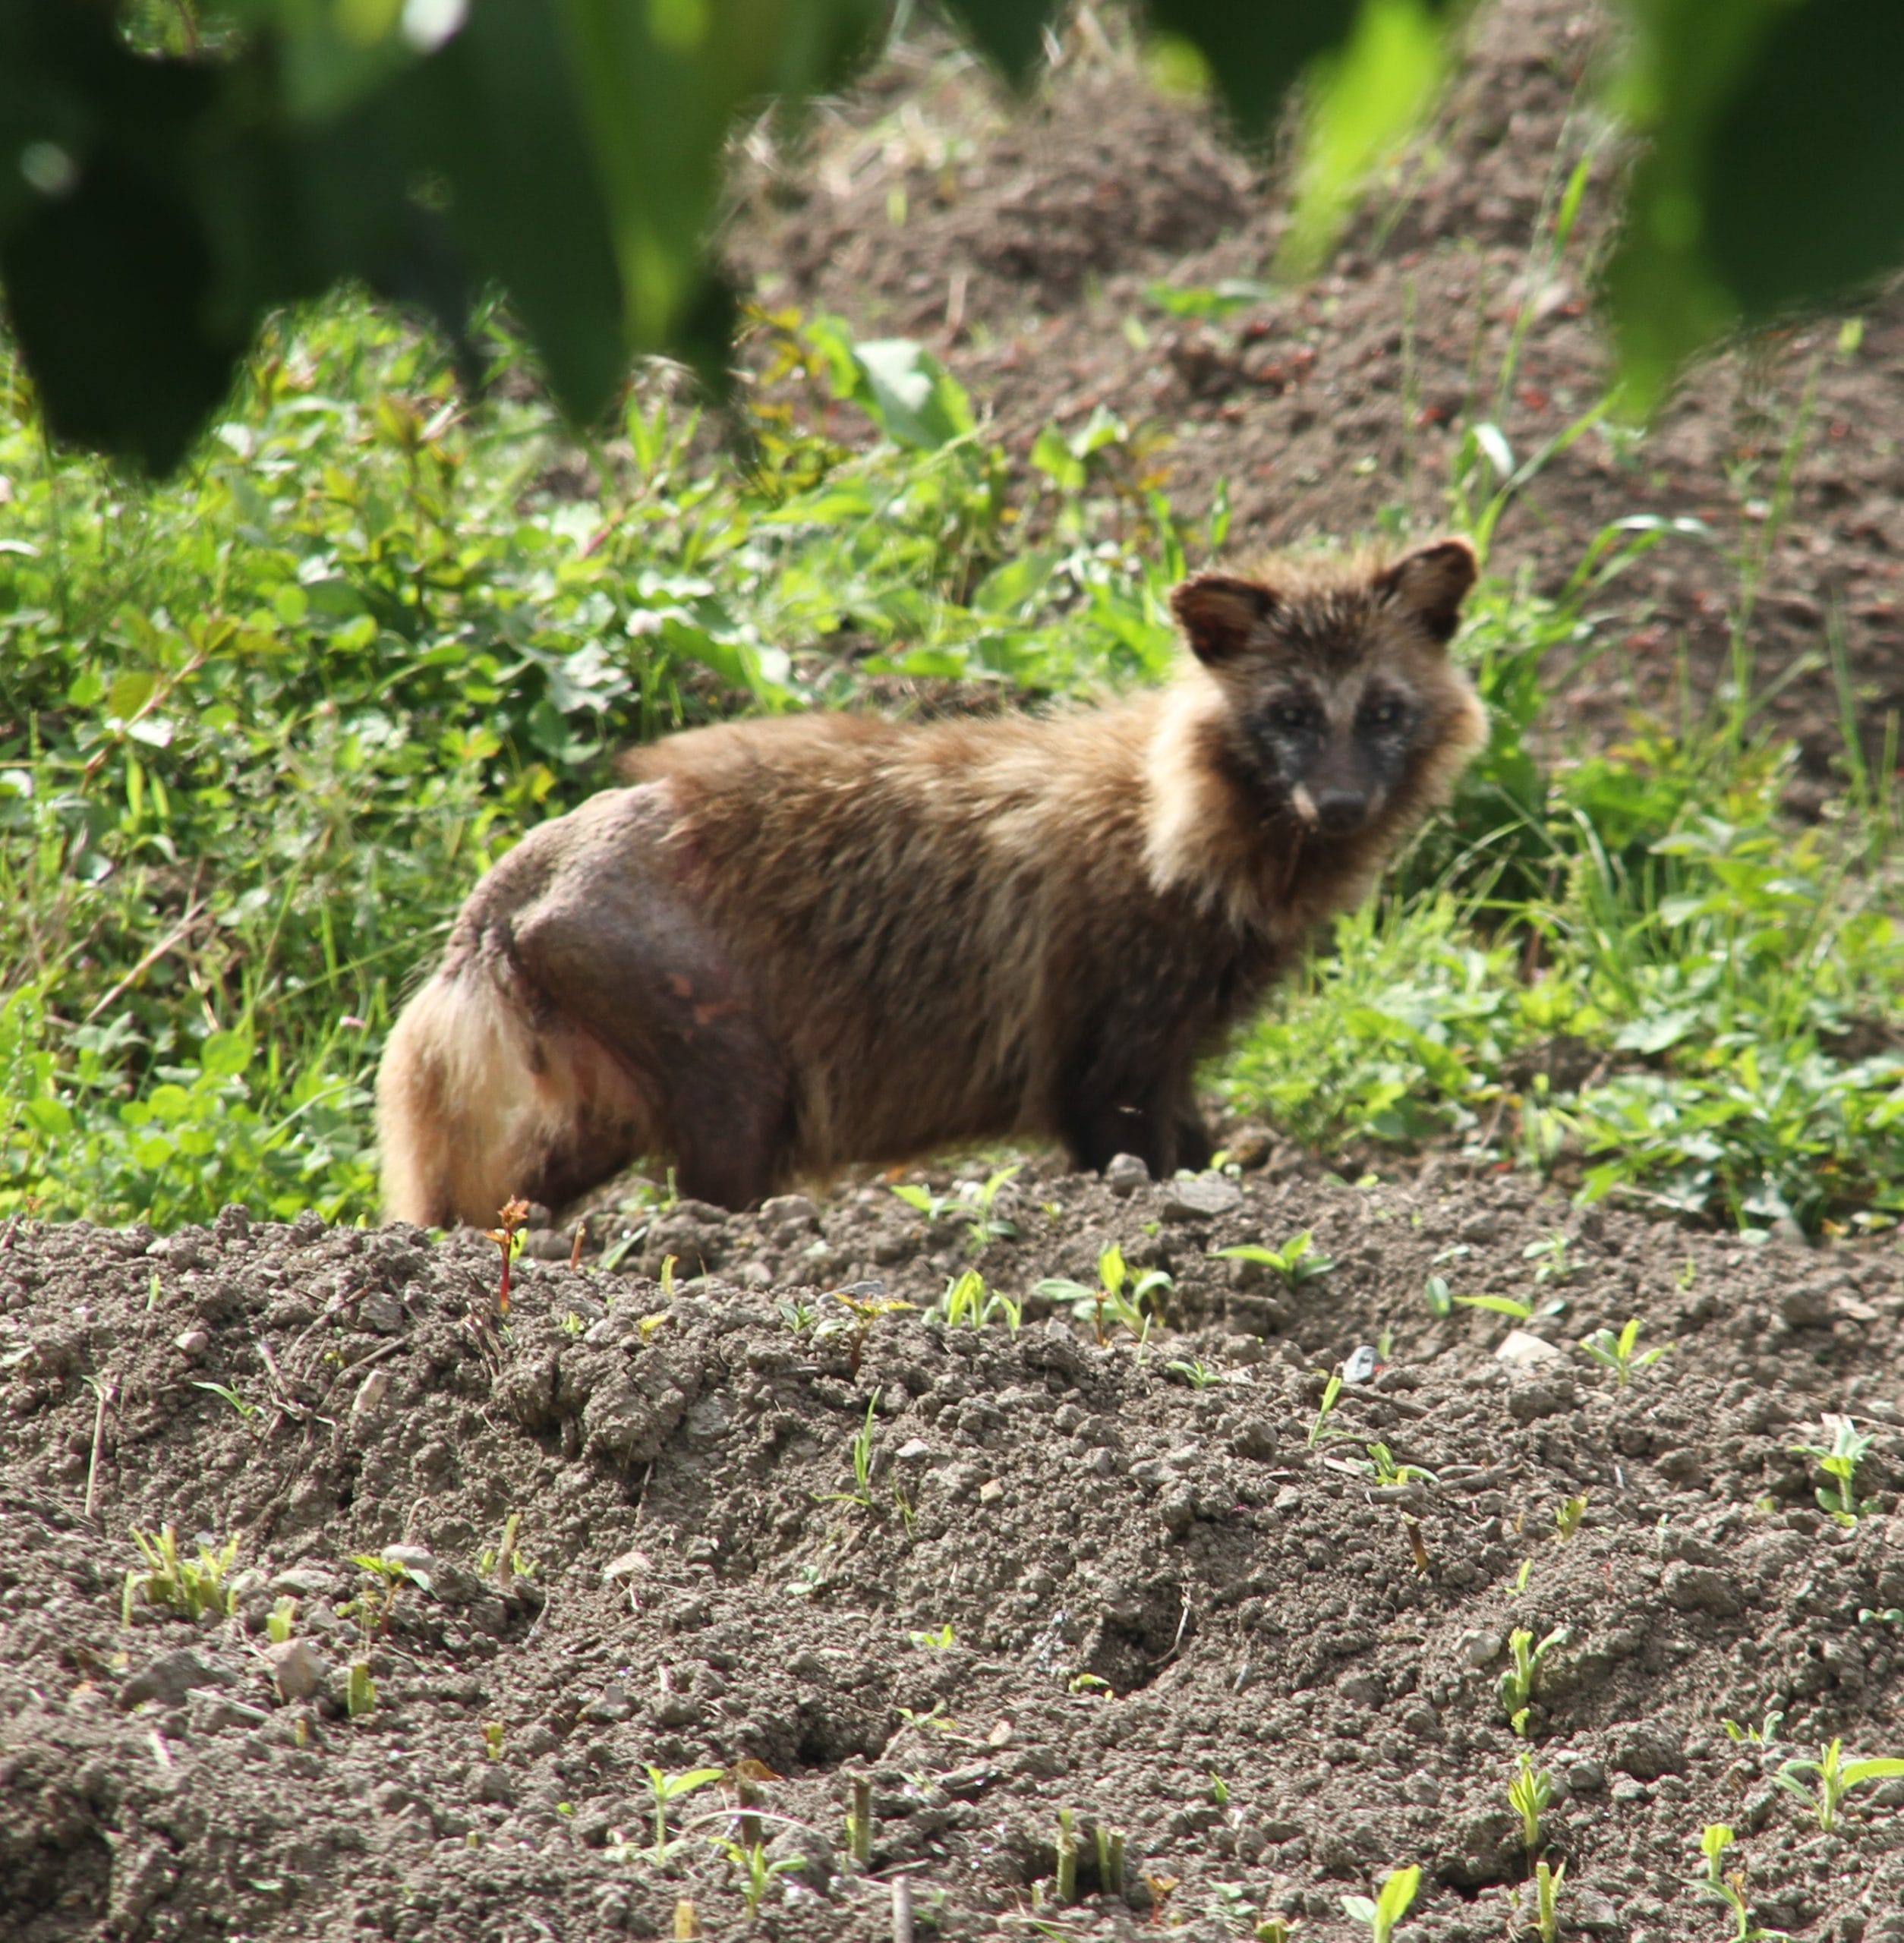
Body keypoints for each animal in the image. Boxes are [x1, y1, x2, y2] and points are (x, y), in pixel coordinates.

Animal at [376, 538, 1487, 1226]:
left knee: (493, 1202)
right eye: (1290, 713)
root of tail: (517, 871)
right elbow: (1134, 1153)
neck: (1180, 814)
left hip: (597, 1100)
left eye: (1383, 710)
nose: (1340, 806)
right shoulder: (1109, 1047)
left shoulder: (1168, 1050)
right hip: (728, 1061)